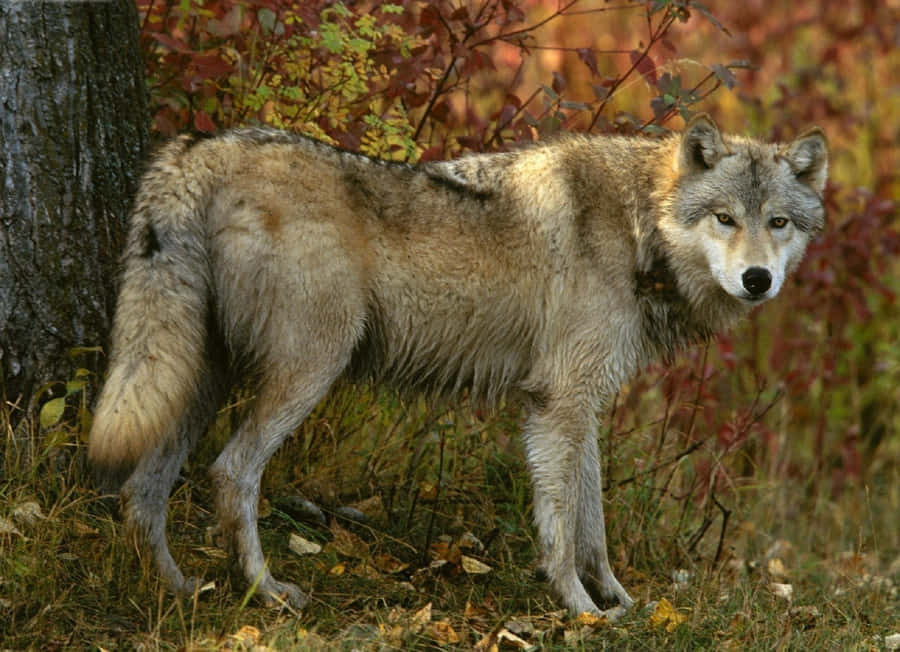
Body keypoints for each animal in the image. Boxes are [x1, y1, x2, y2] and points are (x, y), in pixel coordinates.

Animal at [88, 114, 827, 618]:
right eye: (725, 218)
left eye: (779, 223)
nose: (757, 280)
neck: (638, 226)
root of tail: (202, 147)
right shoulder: (559, 404)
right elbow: (564, 530)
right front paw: (581, 610)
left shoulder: (577, 405)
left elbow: (592, 523)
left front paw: (619, 602)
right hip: (305, 372)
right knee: (231, 473)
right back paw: (265, 593)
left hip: (195, 381)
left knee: (141, 491)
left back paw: (177, 589)